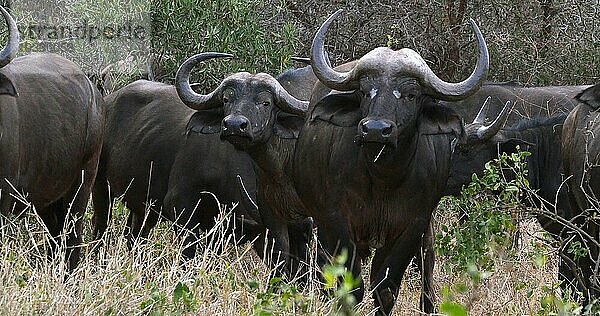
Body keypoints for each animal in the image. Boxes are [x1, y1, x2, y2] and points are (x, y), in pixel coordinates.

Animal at [0, 6, 104, 270]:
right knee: (55, 238)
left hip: (83, 182)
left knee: (72, 239)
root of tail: (95, 95)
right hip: (46, 198)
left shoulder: (3, 195)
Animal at [292, 10, 490, 316]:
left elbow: (385, 287)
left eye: (410, 94)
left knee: (427, 259)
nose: (375, 130)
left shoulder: (411, 226)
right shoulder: (336, 221)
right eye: (365, 91)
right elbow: (351, 285)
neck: (382, 177)